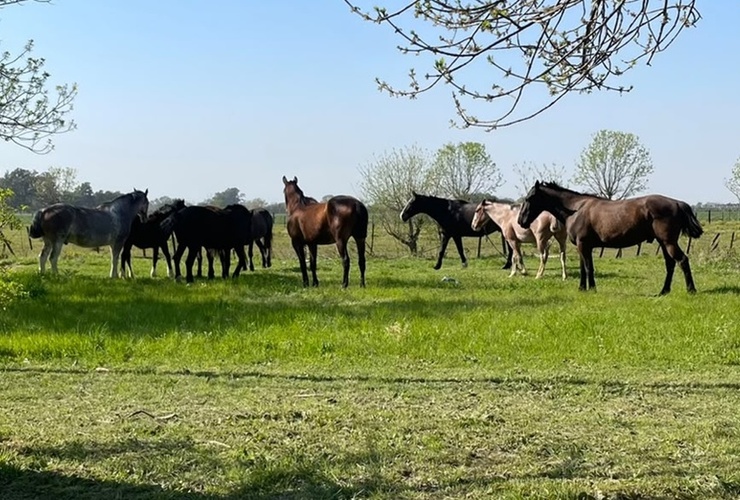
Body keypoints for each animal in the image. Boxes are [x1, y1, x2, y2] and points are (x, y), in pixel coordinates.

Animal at [517, 181, 703, 294]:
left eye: (529, 198)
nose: (520, 221)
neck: (576, 209)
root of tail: (677, 203)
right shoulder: (583, 247)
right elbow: (584, 268)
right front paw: (583, 288)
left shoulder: (583, 245)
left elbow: (588, 268)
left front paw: (591, 289)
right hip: (664, 243)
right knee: (670, 264)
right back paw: (664, 291)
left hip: (668, 242)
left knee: (682, 260)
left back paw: (691, 290)